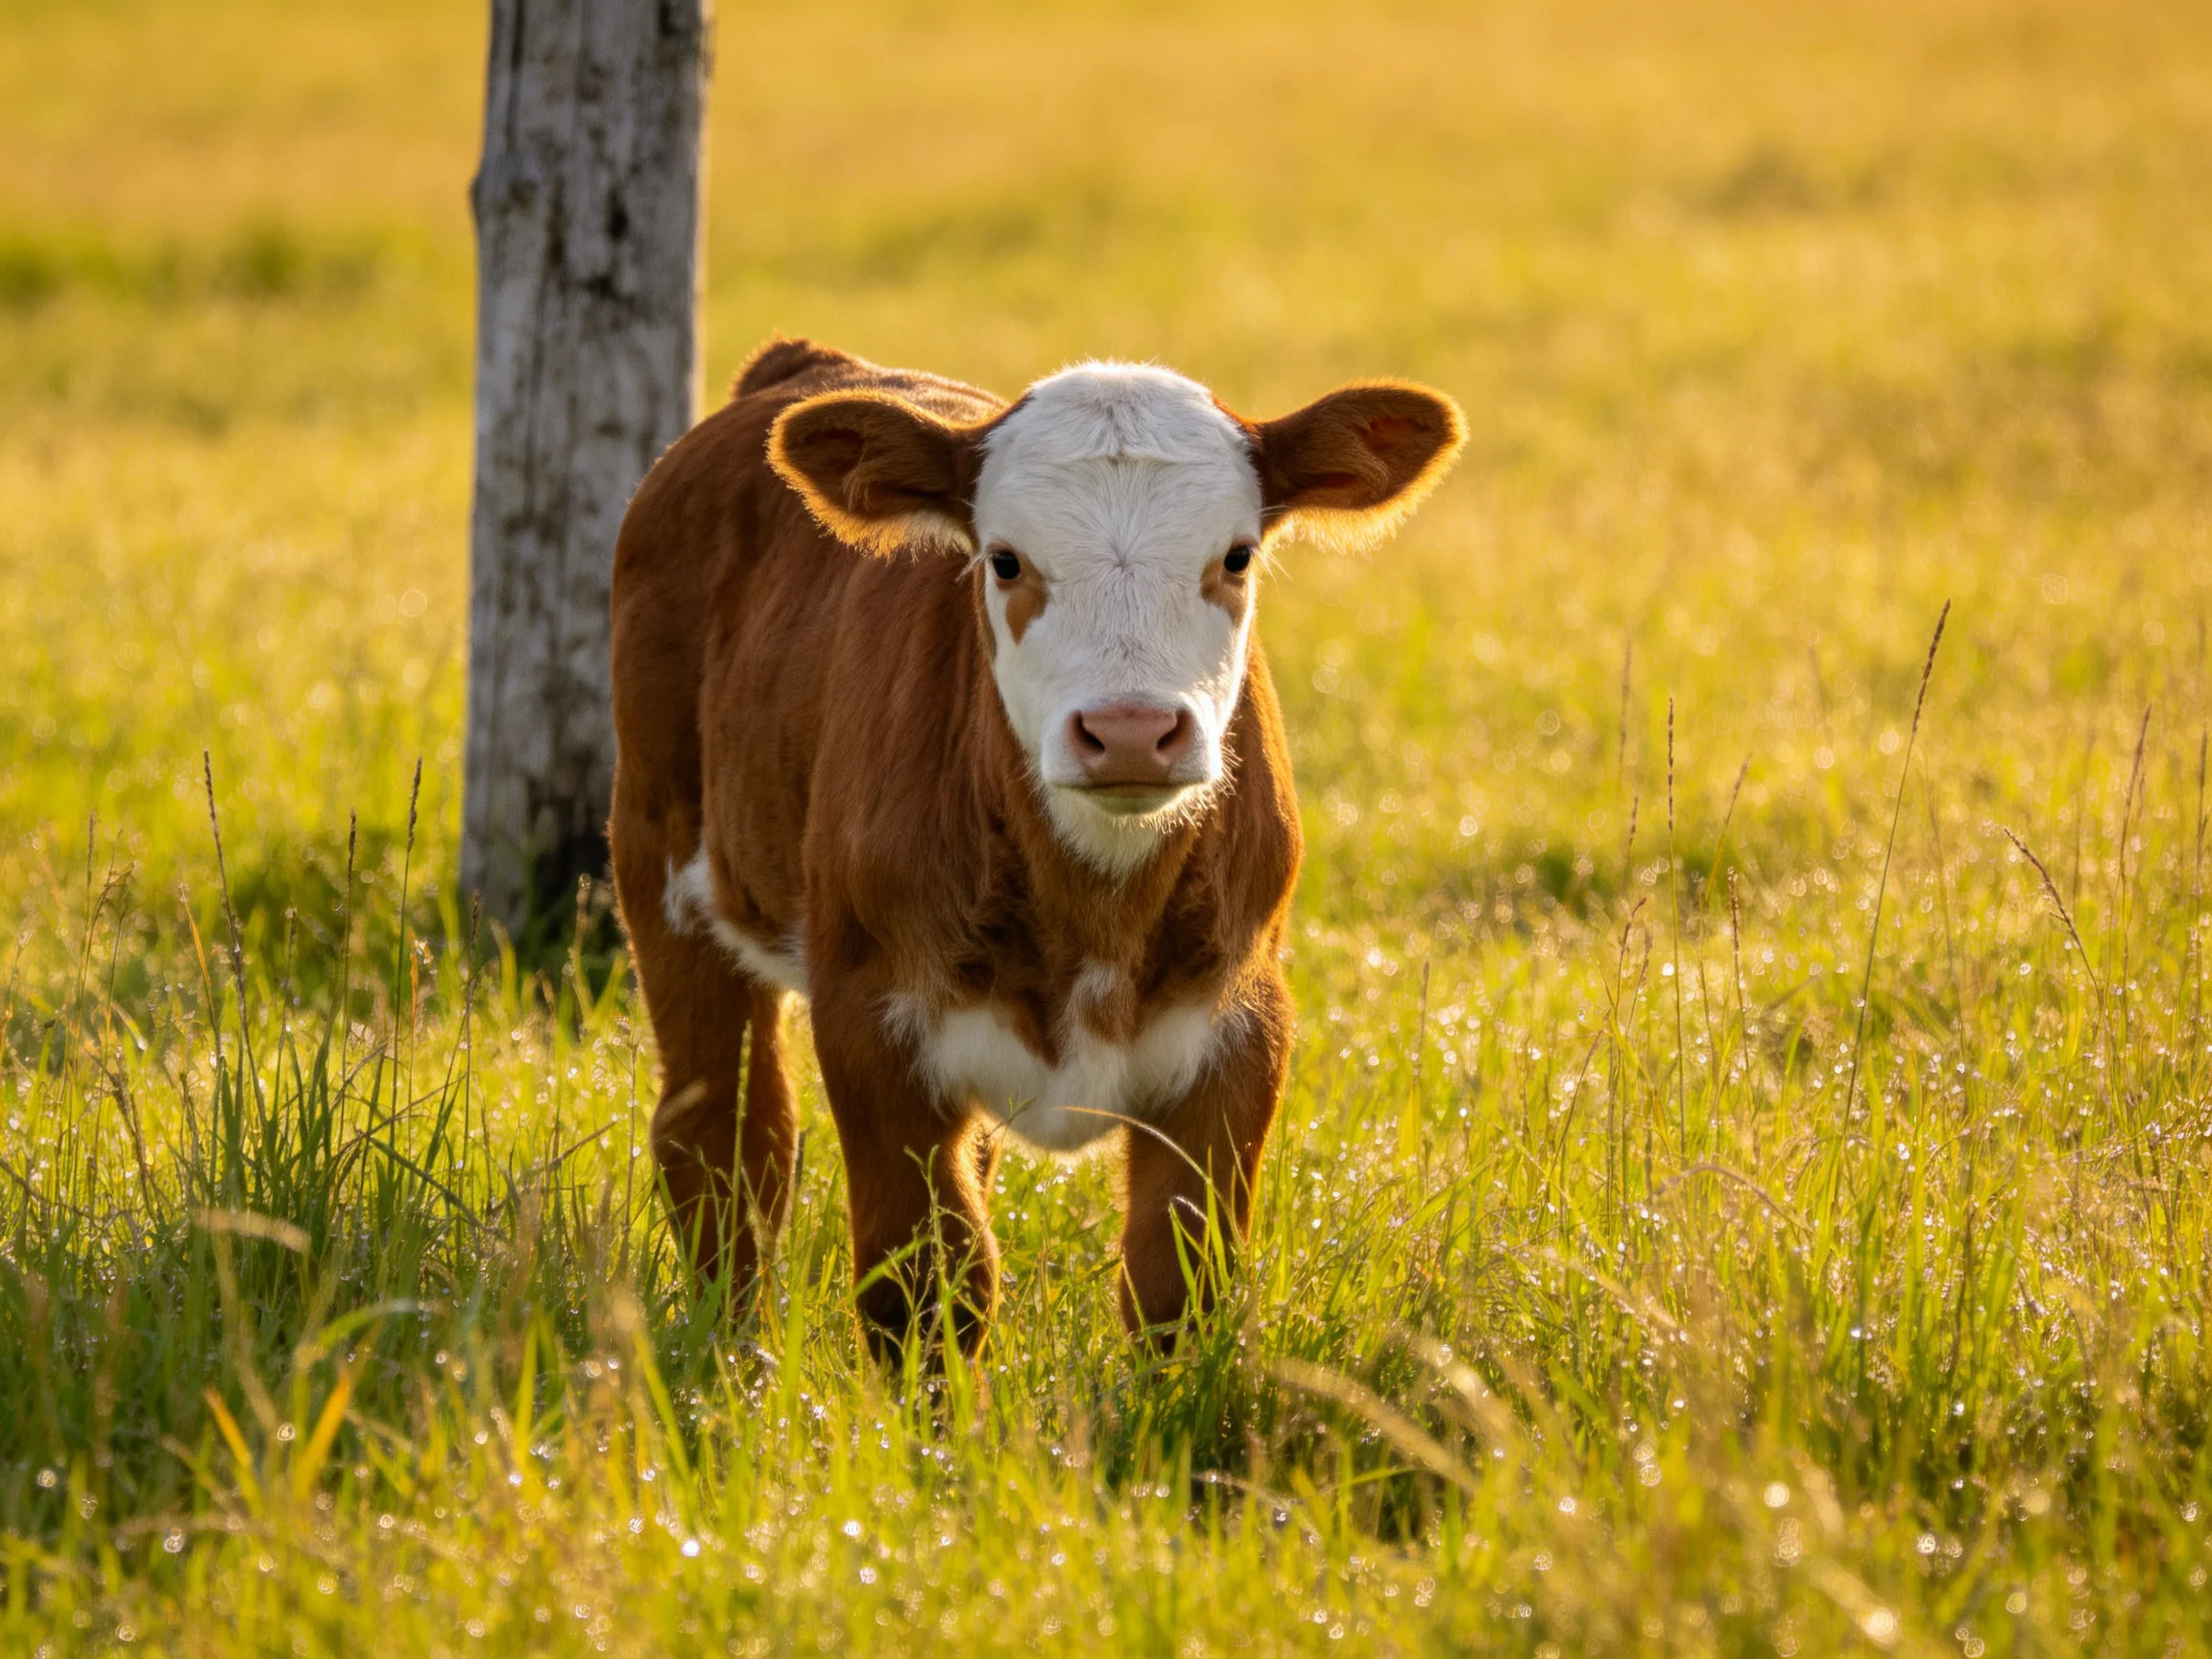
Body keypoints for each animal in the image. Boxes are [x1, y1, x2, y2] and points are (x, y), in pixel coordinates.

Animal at [609, 337, 1464, 1356]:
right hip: (659, 854)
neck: (1090, 913)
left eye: (1237, 555)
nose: (1130, 732)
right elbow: (925, 1286)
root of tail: (809, 365)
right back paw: (732, 1347)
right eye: (1006, 561)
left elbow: (1177, 1284)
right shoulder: (870, 1020)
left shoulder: (1242, 1022)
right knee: (729, 1143)